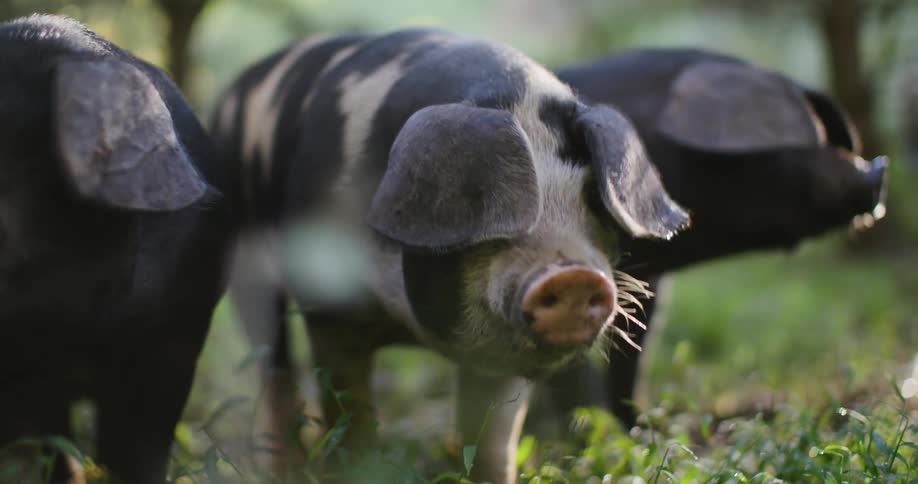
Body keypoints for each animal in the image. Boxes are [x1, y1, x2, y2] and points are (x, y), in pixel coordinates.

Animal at [211, 30, 689, 483]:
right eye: (494, 203)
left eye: (591, 198)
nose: (573, 276)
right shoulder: (330, 309)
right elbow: (349, 404)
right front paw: (360, 468)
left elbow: (493, 437)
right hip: (244, 261)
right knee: (272, 361)